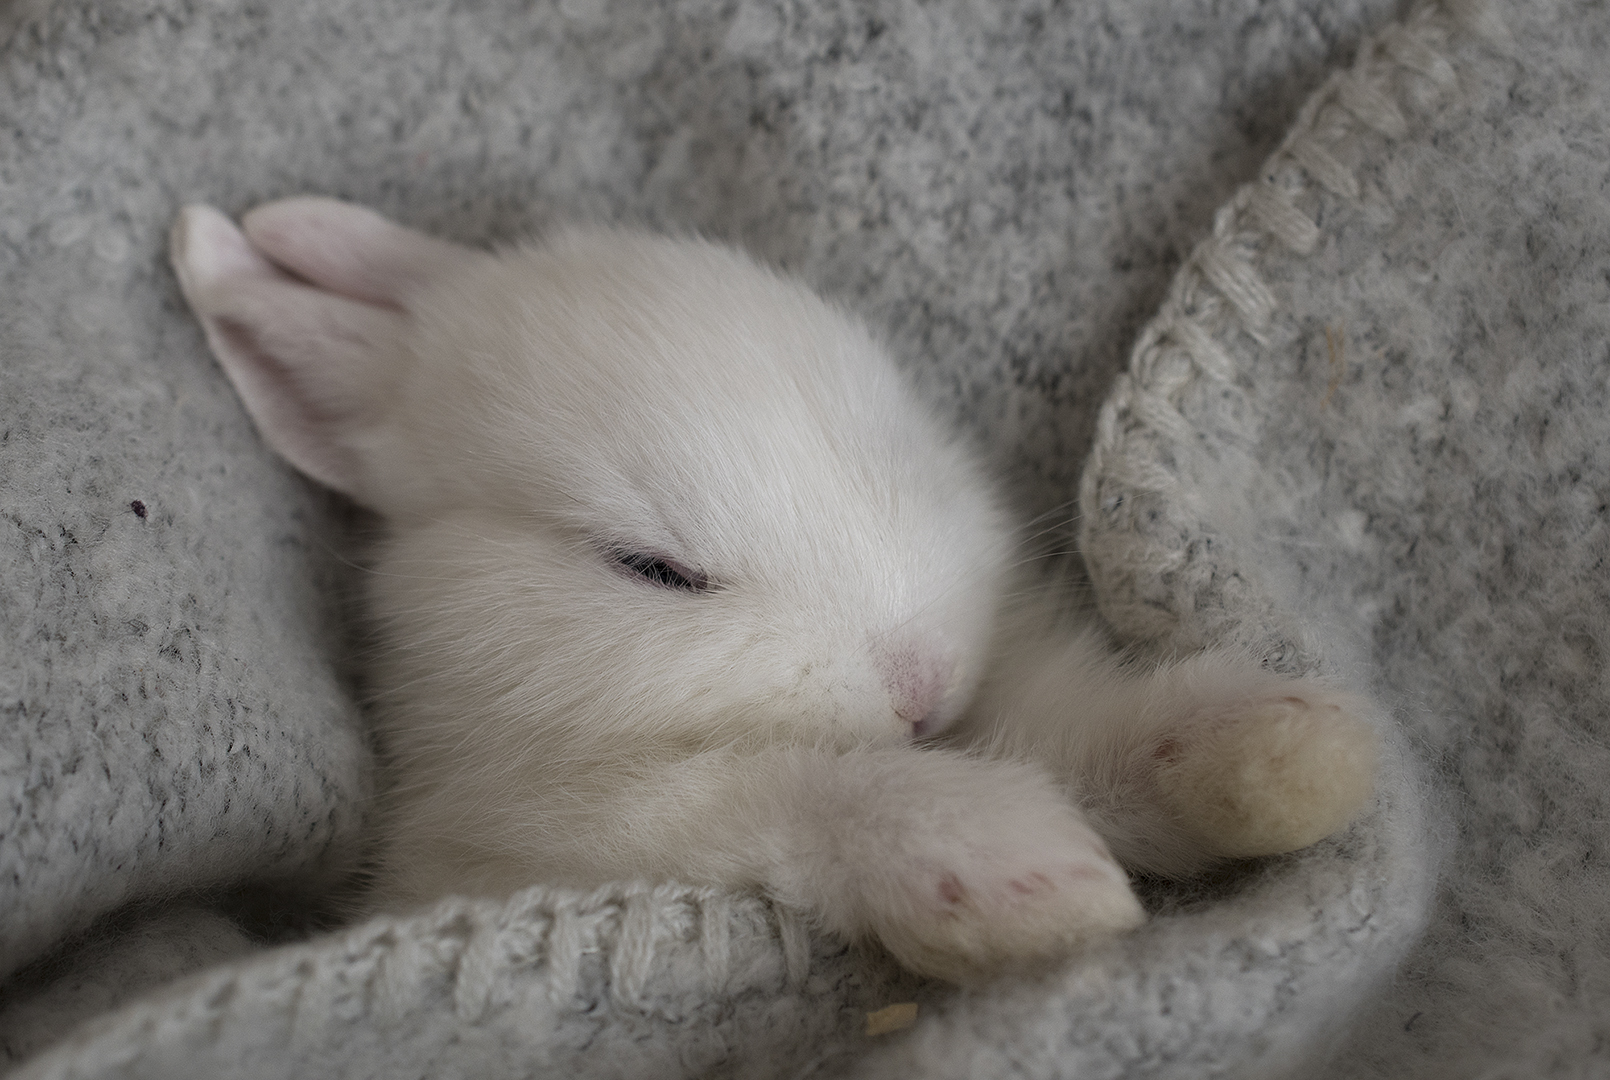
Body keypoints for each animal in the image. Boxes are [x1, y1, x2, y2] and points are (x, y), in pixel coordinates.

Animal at [168, 197, 1378, 982]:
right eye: (650, 569)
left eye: (889, 448)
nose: (920, 684)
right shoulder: (540, 846)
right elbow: (787, 790)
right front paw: (1022, 877)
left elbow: (1088, 734)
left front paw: (1288, 752)